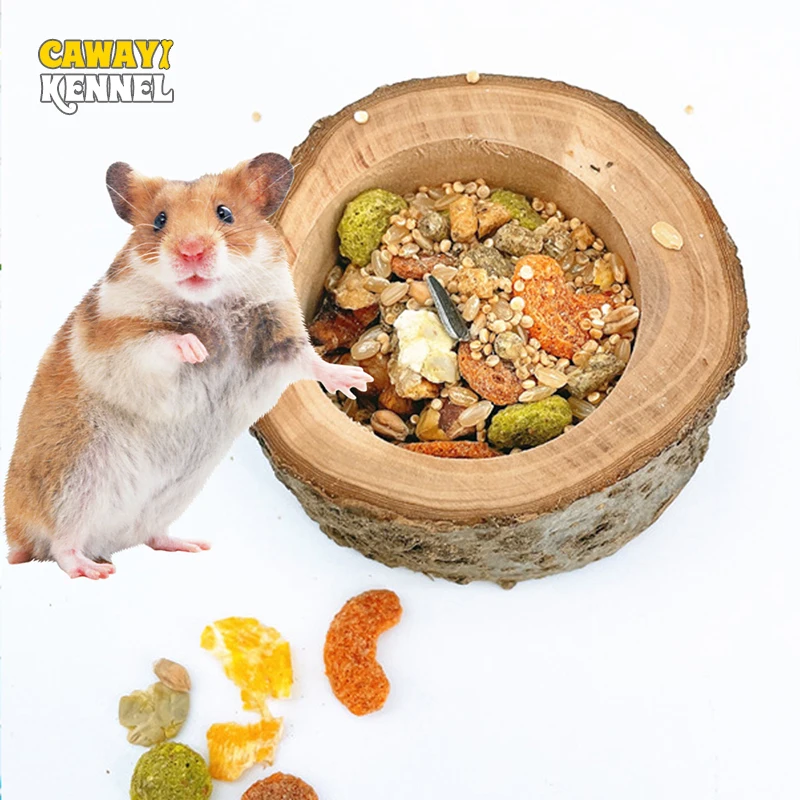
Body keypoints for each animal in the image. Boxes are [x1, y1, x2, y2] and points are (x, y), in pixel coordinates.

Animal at [4, 153, 371, 579]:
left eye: (225, 213)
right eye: (160, 220)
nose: (191, 251)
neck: (212, 302)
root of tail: (17, 534)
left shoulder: (280, 337)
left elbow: (309, 360)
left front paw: (355, 381)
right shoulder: (119, 342)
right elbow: (161, 341)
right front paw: (197, 349)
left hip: (168, 498)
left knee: (149, 536)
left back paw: (192, 546)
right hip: (72, 483)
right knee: (61, 546)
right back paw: (94, 570)